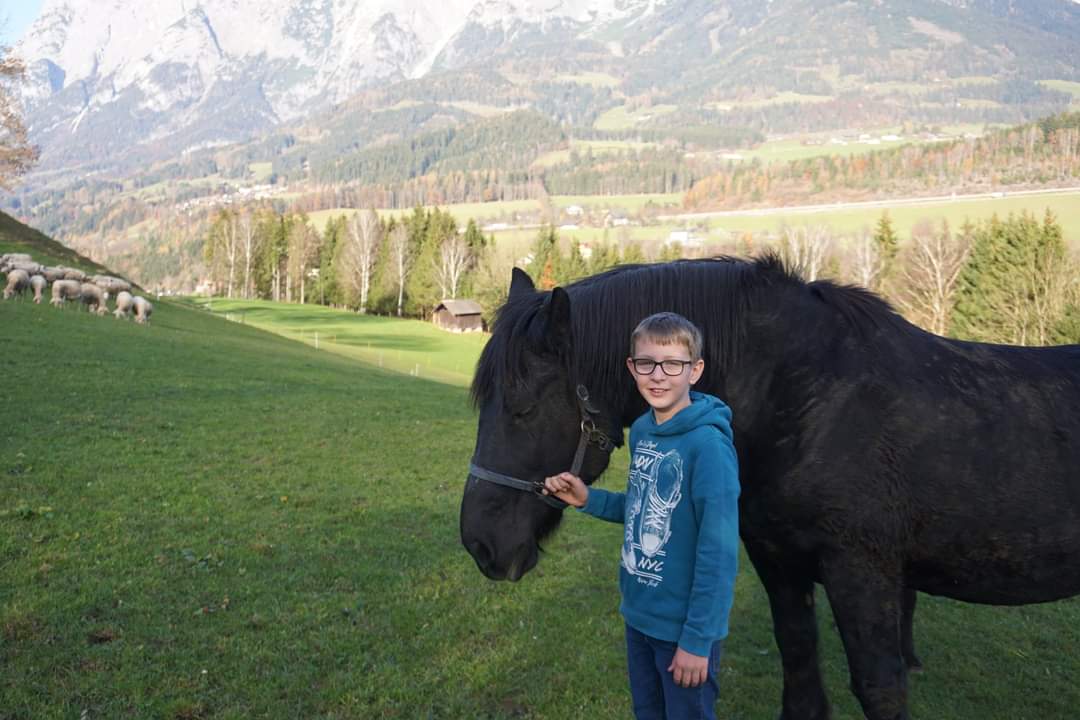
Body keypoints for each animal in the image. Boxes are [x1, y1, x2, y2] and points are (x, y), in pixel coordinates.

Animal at [460, 256, 1080, 720]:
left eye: (523, 407)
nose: (480, 544)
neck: (807, 400)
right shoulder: (779, 562)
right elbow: (799, 666)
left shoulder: (863, 572)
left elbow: (879, 687)